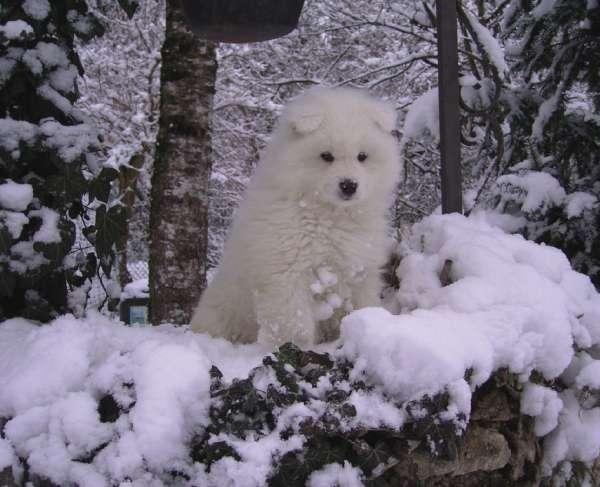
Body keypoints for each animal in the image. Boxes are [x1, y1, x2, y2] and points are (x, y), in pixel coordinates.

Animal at [190, 87, 400, 346]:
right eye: (326, 156)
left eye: (362, 156)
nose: (349, 185)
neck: (328, 215)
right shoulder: (287, 273)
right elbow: (294, 322)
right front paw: (295, 347)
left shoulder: (359, 270)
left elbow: (359, 306)